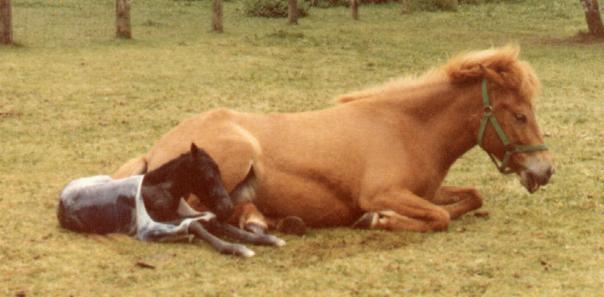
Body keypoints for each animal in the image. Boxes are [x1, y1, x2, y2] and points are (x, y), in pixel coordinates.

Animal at [57, 143, 284, 254]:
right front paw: (235, 249)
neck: (162, 189)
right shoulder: (155, 223)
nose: (226, 207)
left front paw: (267, 240)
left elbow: (214, 222)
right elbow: (197, 225)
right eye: (208, 175)